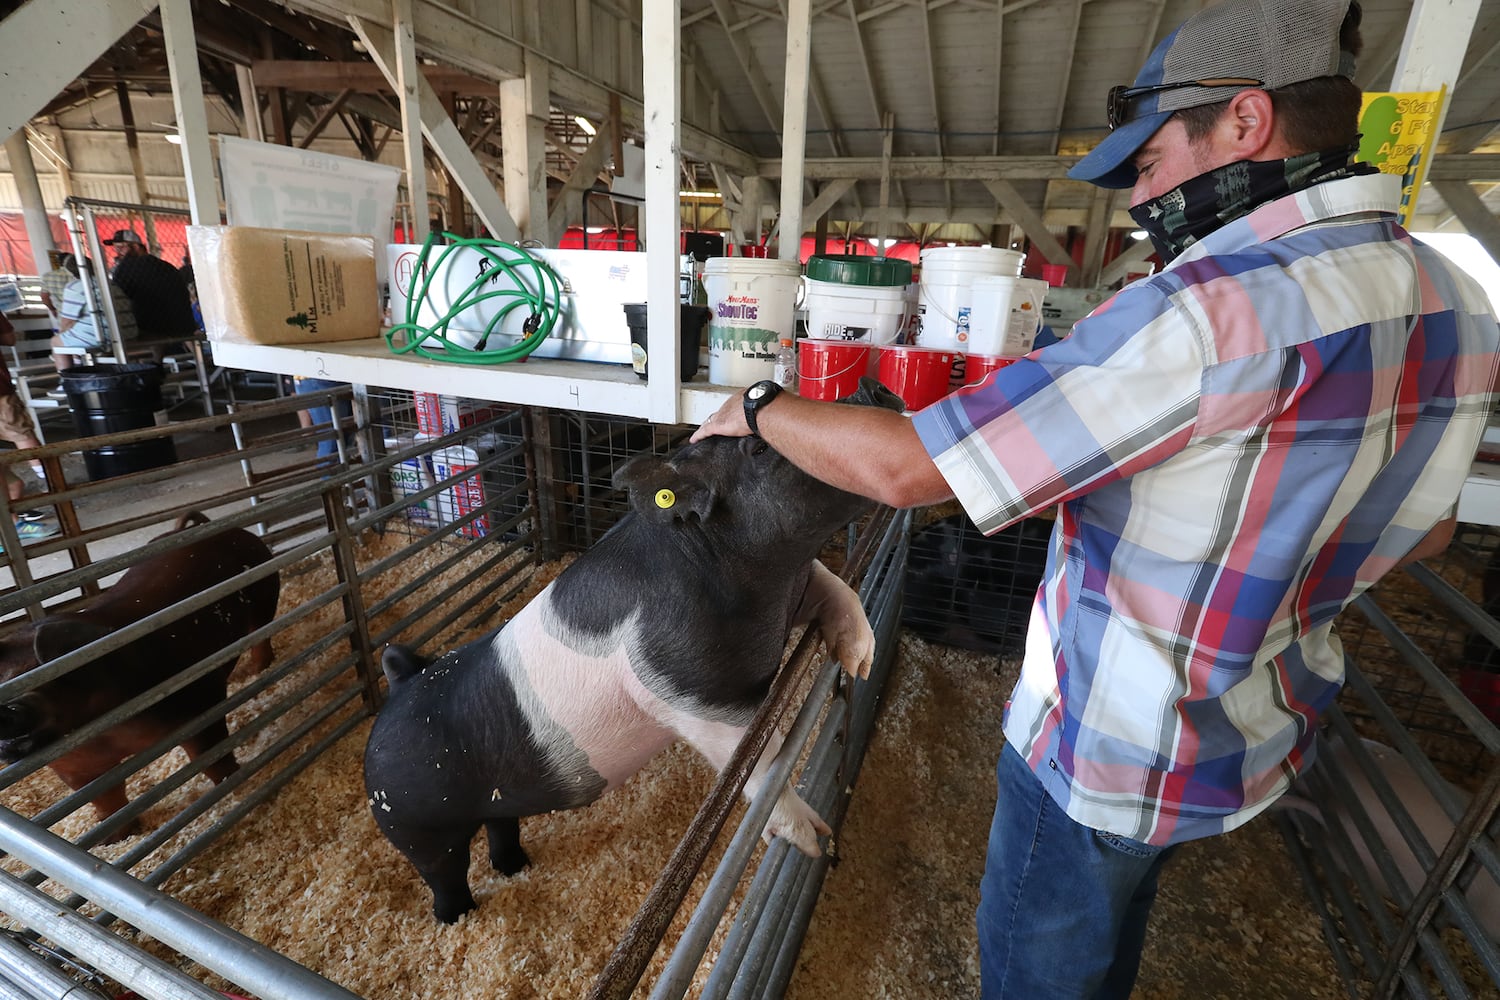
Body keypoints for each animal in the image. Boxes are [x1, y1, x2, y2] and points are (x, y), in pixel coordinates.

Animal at [0, 509, 282, 839]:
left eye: (45, 673)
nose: (6, 708)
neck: (112, 737)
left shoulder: (200, 705)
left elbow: (213, 761)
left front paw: (234, 787)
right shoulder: (76, 767)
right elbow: (108, 801)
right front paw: (115, 837)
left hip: (264, 598)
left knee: (261, 636)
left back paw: (259, 670)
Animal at [366, 380, 900, 923]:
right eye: (759, 449)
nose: (871, 387)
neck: (772, 583)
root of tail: (399, 686)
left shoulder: (795, 588)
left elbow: (835, 586)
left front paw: (861, 661)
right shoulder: (685, 690)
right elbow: (760, 761)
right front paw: (814, 838)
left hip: (493, 800)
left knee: (501, 825)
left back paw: (515, 866)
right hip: (415, 824)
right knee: (443, 872)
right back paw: (458, 916)